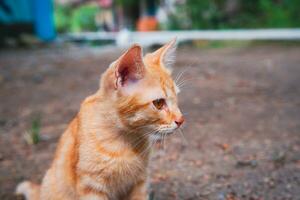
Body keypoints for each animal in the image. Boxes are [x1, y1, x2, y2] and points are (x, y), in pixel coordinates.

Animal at [17, 39, 184, 200]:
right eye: (159, 103)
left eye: (176, 98)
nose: (182, 120)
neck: (124, 141)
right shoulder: (91, 187)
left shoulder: (140, 183)